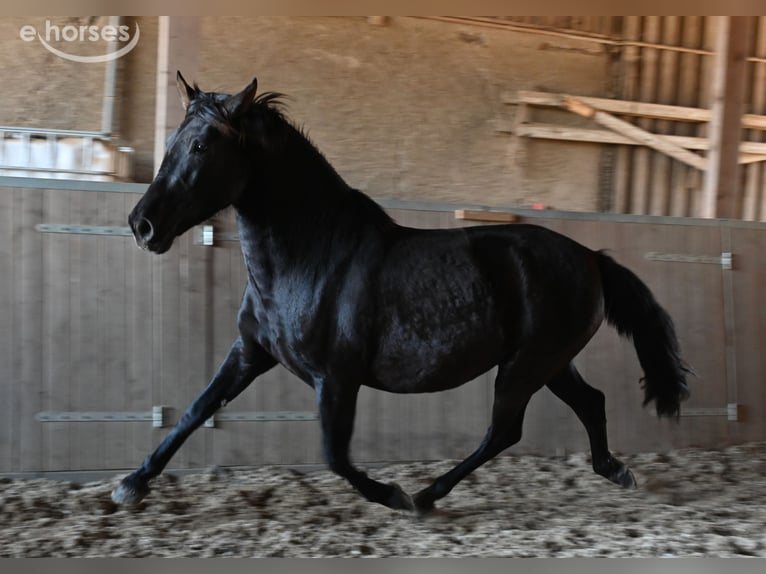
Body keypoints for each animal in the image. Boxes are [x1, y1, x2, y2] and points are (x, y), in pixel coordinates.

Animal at [112, 72, 690, 513]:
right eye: (171, 143)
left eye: (202, 145)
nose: (142, 225)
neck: (310, 257)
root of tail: (590, 257)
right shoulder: (251, 352)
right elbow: (196, 409)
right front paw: (131, 484)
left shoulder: (336, 379)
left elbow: (335, 456)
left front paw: (390, 494)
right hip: (548, 362)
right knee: (588, 403)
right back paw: (614, 471)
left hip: (527, 365)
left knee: (504, 431)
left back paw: (426, 495)